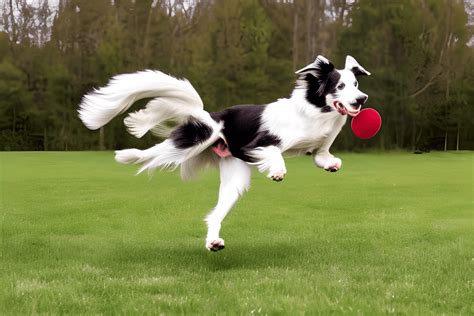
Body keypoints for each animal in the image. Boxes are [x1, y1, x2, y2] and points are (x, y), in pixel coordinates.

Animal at [78, 55, 370, 252]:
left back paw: (214, 242)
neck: (315, 113)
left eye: (356, 83)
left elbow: (324, 157)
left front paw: (332, 164)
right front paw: (277, 171)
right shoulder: (256, 144)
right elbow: (275, 153)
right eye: (339, 86)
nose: (362, 99)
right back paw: (126, 155)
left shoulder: (318, 148)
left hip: (234, 179)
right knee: (153, 154)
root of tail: (209, 115)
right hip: (192, 142)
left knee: (214, 215)